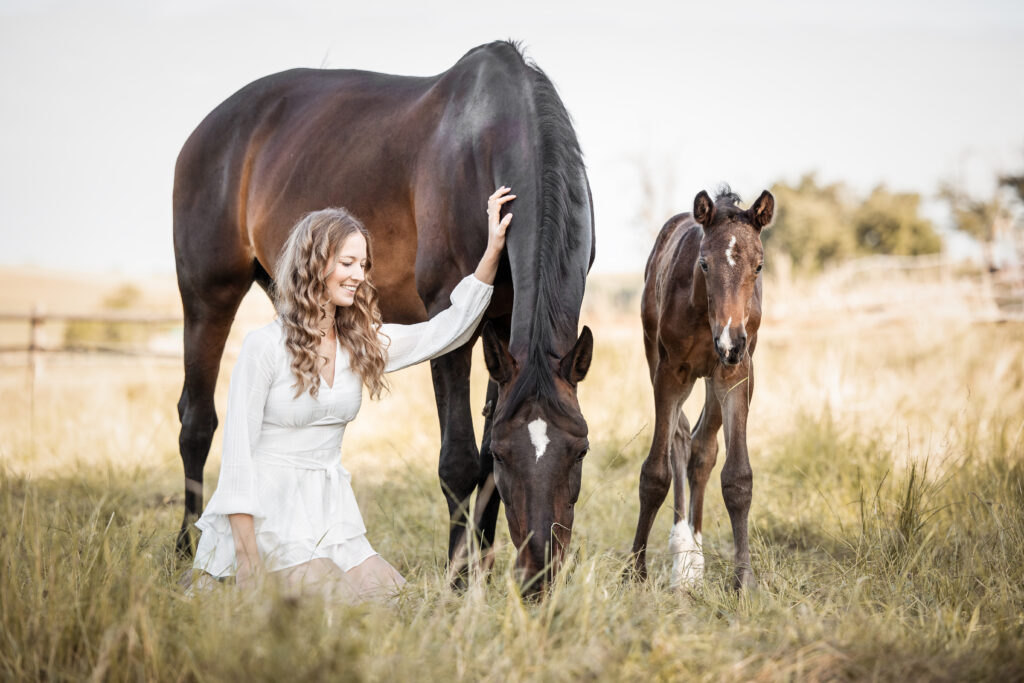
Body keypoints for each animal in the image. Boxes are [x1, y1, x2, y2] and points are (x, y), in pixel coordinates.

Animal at [173, 40, 598, 589]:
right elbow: (462, 461)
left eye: (580, 450)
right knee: (197, 422)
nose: (537, 578)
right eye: (511, 455)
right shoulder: (451, 321)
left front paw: (480, 572)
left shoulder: (502, 330)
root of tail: (211, 126)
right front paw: (458, 580)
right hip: (207, 297)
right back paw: (188, 552)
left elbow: (483, 459)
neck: (487, 140)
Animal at [626, 188, 770, 593]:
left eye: (758, 266)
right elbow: (654, 474)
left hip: (713, 378)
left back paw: (694, 558)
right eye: (704, 264)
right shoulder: (670, 372)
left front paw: (744, 581)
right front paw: (635, 571)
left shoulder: (736, 375)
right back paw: (682, 553)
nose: (731, 340)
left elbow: (737, 478)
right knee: (679, 437)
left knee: (702, 447)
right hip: (659, 359)